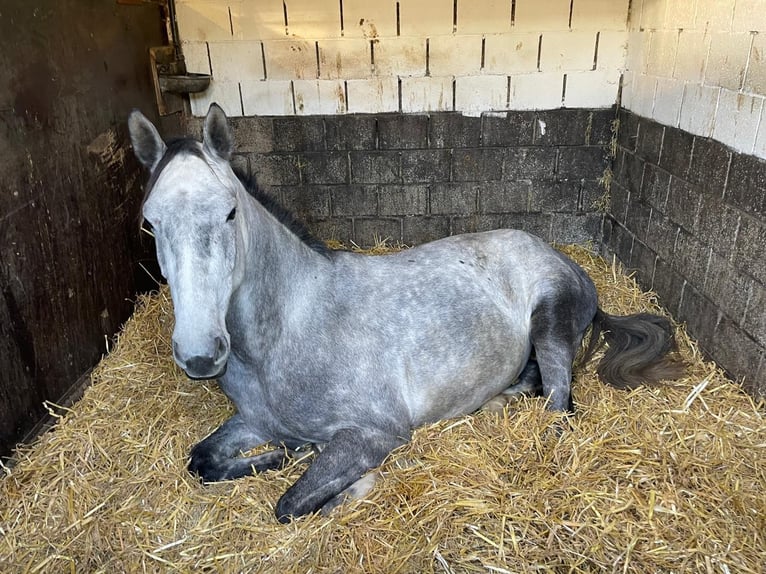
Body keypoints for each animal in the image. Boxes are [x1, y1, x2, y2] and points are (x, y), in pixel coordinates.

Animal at [127, 104, 684, 528]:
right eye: (150, 224)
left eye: (229, 213)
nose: (200, 356)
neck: (286, 333)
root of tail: (565, 259)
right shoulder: (254, 420)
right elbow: (202, 460)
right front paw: (277, 456)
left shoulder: (373, 434)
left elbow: (292, 504)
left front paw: (346, 483)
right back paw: (496, 401)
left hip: (548, 325)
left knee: (559, 408)